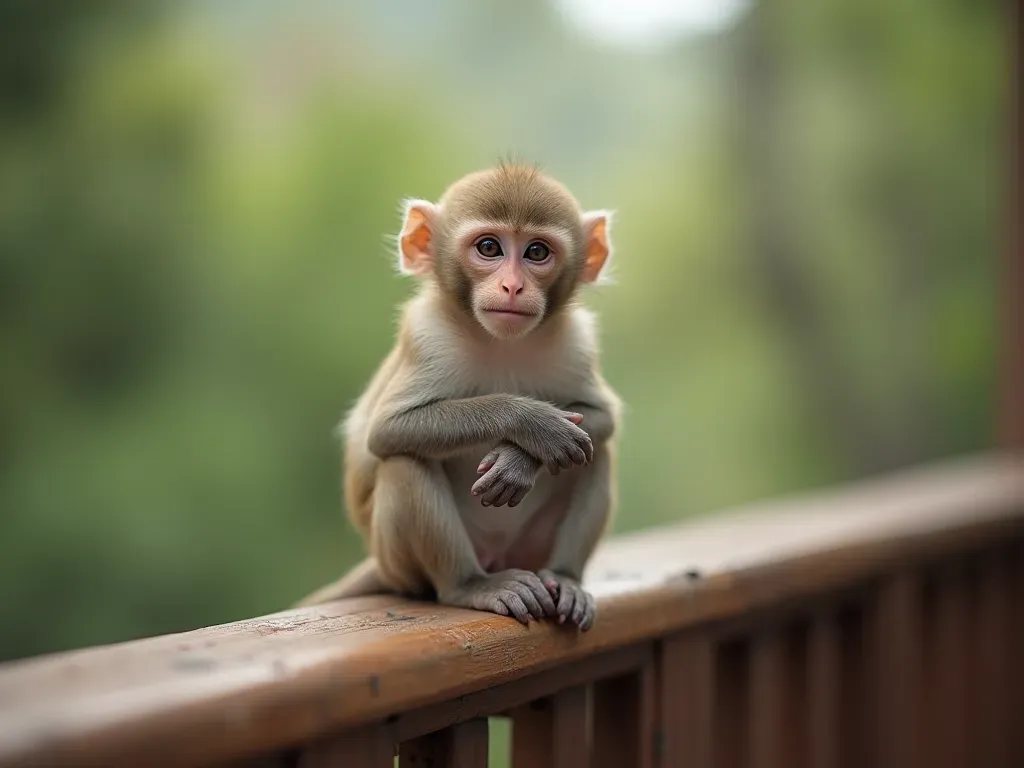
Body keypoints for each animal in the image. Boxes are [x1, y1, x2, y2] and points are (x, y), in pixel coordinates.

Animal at [296, 163, 621, 631]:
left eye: (537, 252)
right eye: (489, 247)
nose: (512, 287)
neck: (502, 344)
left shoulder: (577, 341)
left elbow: (601, 417)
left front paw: (519, 460)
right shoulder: (428, 335)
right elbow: (389, 430)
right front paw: (534, 425)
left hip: (528, 550)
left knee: (596, 455)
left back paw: (565, 578)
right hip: (402, 563)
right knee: (404, 465)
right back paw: (470, 584)